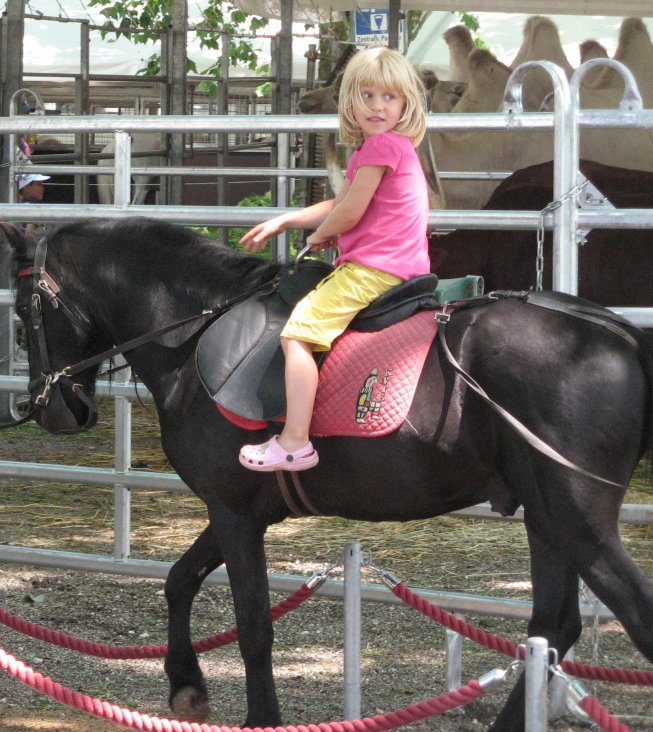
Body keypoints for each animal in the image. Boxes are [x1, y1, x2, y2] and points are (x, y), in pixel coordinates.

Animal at [3, 219, 652, 732]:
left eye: (21, 312)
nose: (53, 408)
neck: (192, 335)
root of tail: (617, 333)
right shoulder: (238, 507)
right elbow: (179, 580)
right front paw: (186, 685)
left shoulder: (234, 511)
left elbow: (252, 623)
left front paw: (261, 718)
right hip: (545, 517)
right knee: (552, 627)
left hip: (577, 518)